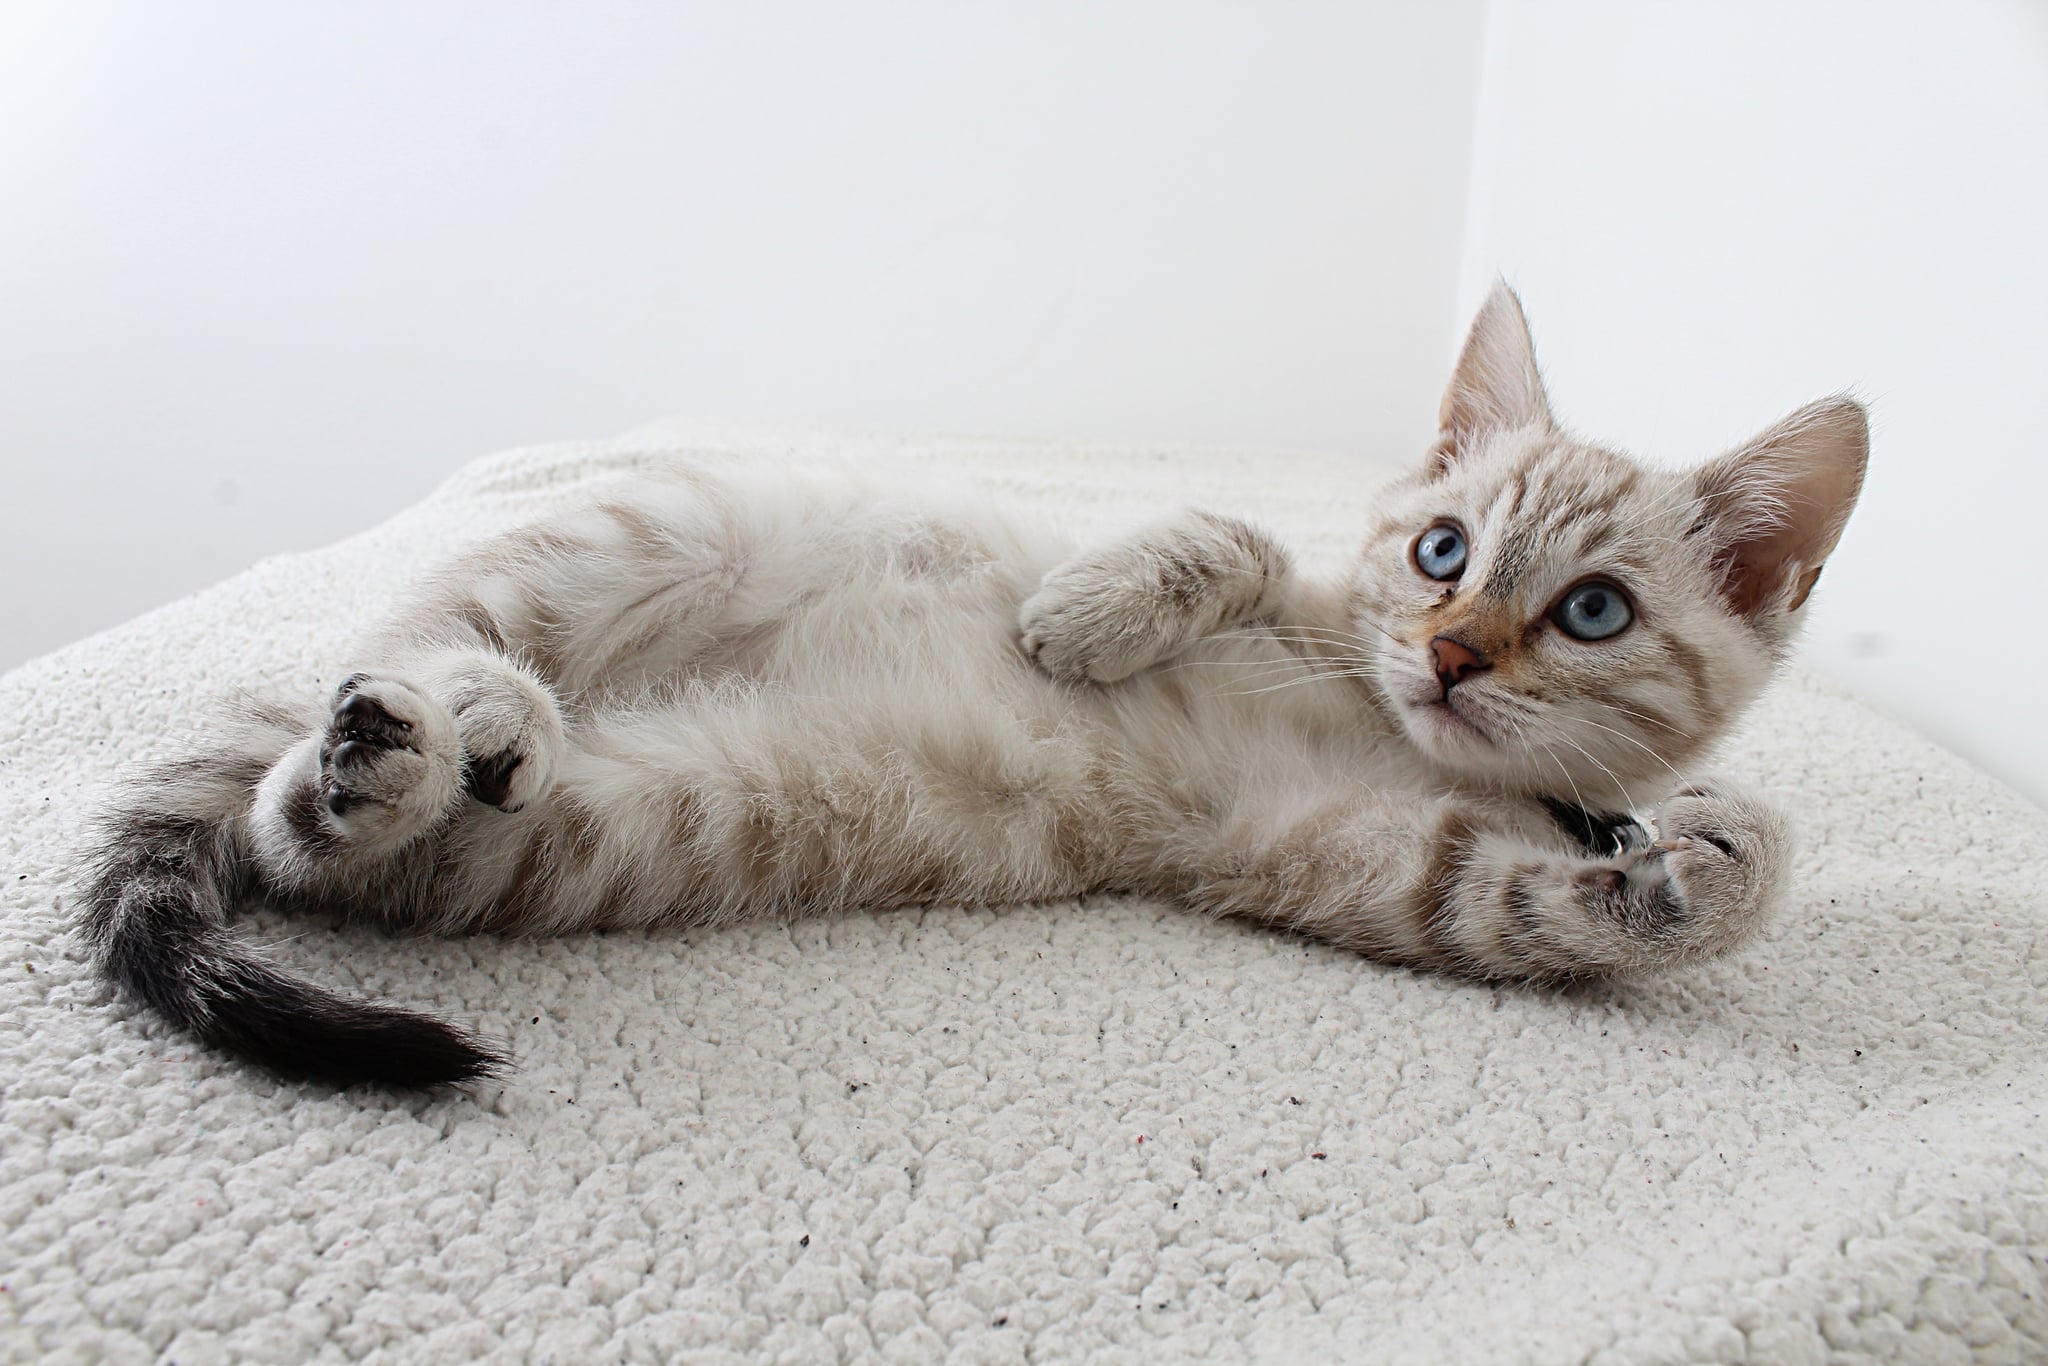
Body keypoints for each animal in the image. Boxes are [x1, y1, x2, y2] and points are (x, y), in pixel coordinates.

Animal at [79, 288, 1875, 1089]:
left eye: (1589, 611)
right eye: (1440, 551)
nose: (1445, 656)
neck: (1373, 723)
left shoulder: (1344, 858)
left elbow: (1521, 898)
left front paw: (1698, 864)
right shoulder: (1307, 600)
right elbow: (1226, 543)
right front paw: (1087, 614)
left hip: (595, 831)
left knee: (313, 828)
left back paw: (415, 760)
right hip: (632, 535)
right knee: (419, 635)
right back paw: (467, 702)